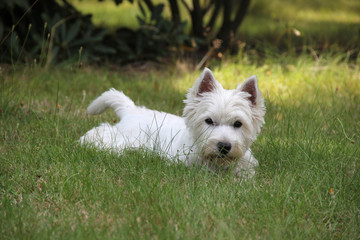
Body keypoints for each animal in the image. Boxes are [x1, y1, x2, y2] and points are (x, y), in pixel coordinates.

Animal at [82, 68, 268, 177]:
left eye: (238, 124)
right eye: (208, 121)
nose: (224, 146)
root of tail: (131, 110)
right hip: (122, 138)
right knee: (101, 133)